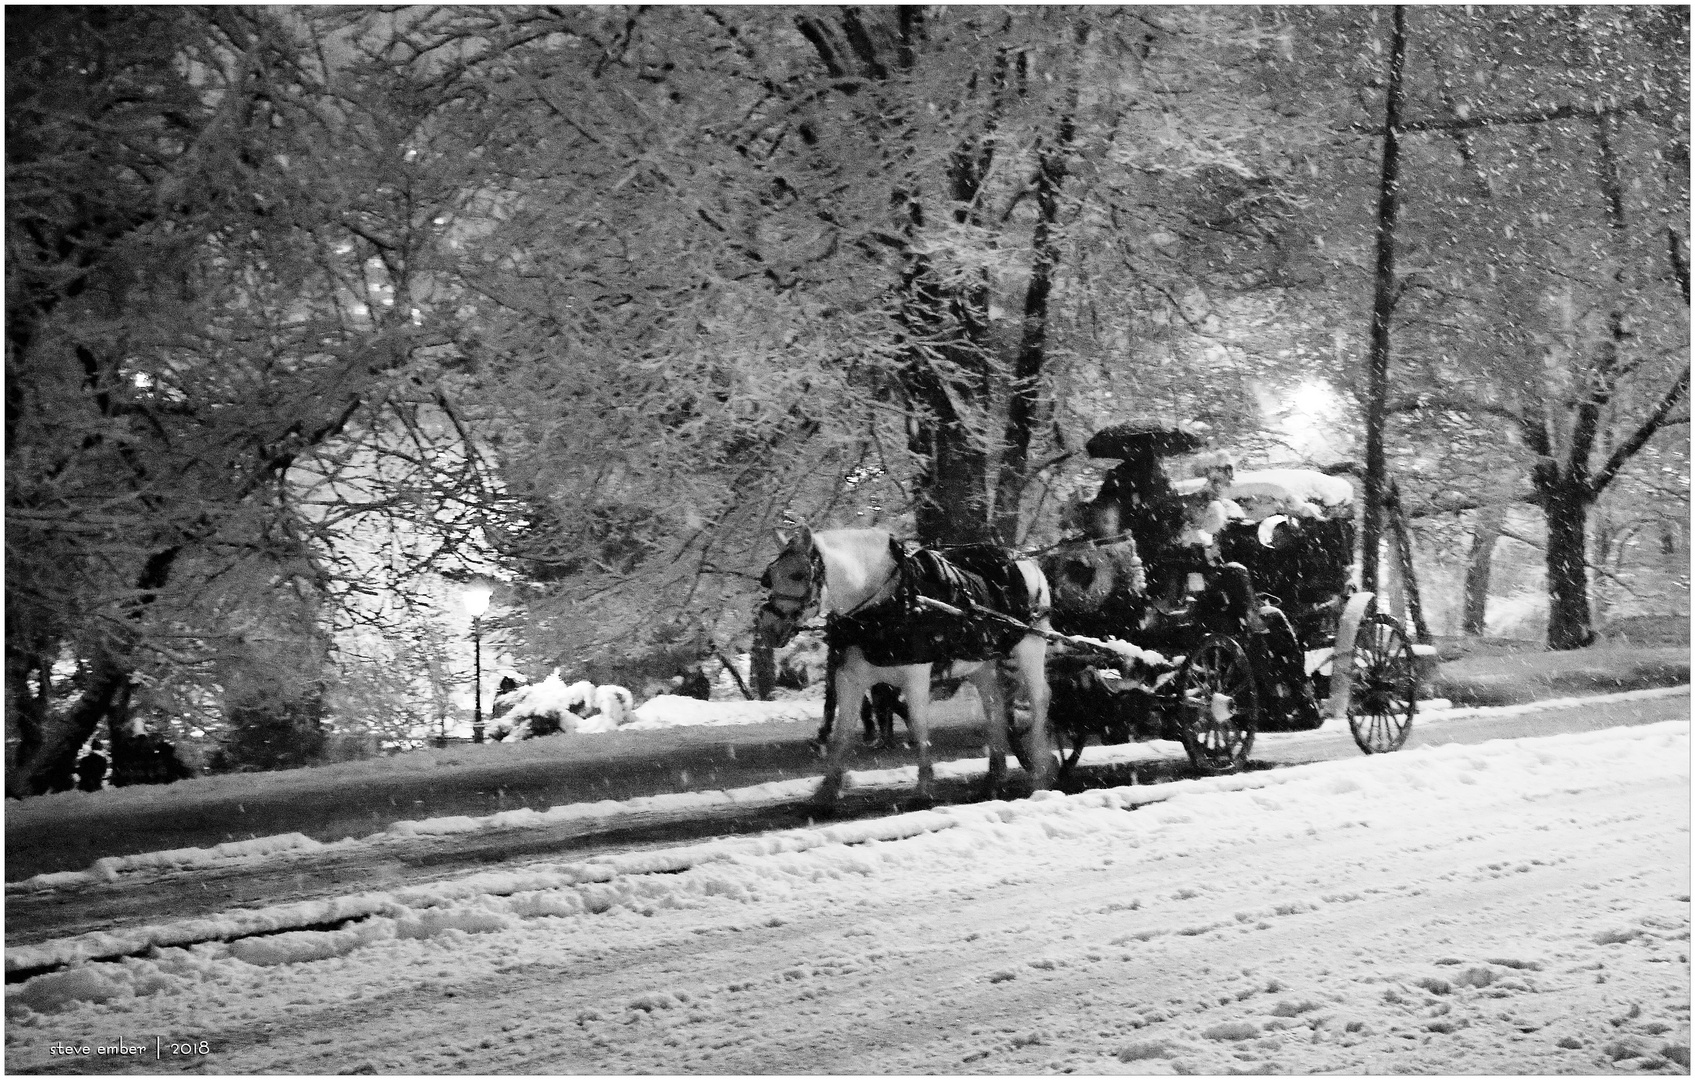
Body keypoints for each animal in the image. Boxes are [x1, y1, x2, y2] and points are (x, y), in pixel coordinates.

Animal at [752, 525, 1044, 803]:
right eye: (771, 576)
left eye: (798, 575)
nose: (768, 627)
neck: (885, 605)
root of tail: (1024, 559)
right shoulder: (849, 678)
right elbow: (843, 732)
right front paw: (827, 791)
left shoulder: (916, 677)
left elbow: (919, 727)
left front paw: (924, 789)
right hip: (983, 663)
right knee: (994, 709)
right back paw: (994, 778)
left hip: (1031, 649)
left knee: (1039, 701)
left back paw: (1039, 774)